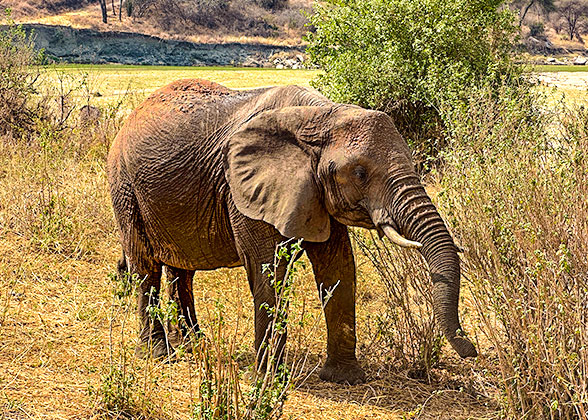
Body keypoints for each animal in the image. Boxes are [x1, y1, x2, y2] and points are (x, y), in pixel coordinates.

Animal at [108, 78, 478, 384]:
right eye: (359, 173)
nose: (470, 348)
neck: (320, 116)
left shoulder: (315, 193)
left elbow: (339, 268)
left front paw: (345, 377)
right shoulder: (242, 190)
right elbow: (268, 270)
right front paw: (267, 378)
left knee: (182, 270)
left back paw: (194, 344)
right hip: (124, 186)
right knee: (146, 266)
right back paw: (159, 354)